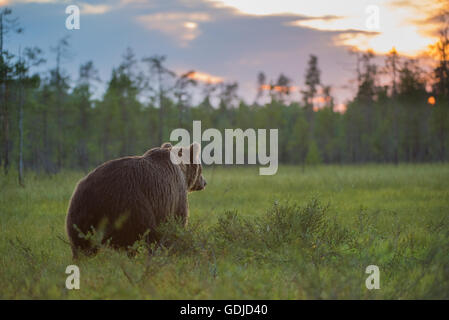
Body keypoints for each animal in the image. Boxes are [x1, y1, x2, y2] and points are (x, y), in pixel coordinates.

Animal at [65, 142, 206, 258]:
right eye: (201, 167)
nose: (204, 182)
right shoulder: (176, 195)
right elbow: (177, 221)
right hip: (130, 204)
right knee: (139, 234)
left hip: (80, 208)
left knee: (81, 243)